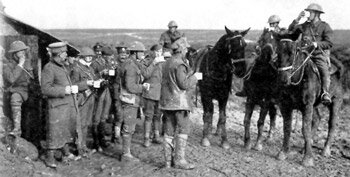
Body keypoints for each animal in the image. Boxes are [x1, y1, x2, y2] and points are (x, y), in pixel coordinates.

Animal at [272, 36, 344, 167]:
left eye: (292, 53)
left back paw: (325, 150)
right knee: (317, 119)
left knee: (331, 125)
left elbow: (305, 129)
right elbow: (287, 128)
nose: (283, 79)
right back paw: (305, 147)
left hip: (335, 103)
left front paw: (308, 159)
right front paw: (283, 152)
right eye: (277, 54)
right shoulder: (285, 106)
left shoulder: (307, 106)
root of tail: (338, 71)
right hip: (314, 106)